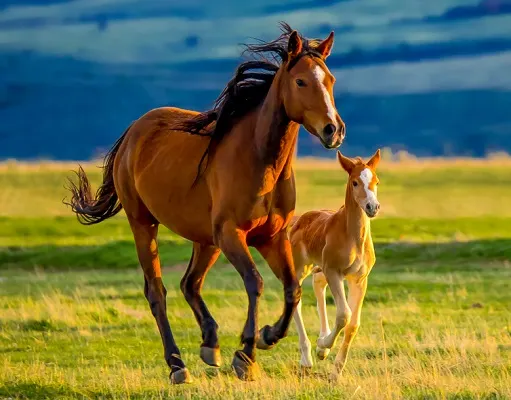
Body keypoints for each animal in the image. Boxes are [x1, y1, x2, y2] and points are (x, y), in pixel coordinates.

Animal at [64, 24, 344, 384]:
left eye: (330, 80)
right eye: (300, 81)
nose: (333, 130)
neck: (259, 161)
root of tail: (133, 132)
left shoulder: (271, 237)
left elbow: (292, 289)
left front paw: (266, 336)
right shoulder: (232, 234)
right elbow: (255, 283)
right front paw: (246, 355)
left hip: (205, 240)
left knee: (189, 283)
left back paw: (210, 345)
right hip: (145, 224)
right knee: (157, 291)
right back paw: (177, 364)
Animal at [288, 149, 380, 378]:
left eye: (376, 181)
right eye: (355, 182)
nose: (372, 207)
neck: (353, 237)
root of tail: (298, 219)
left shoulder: (359, 279)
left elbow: (353, 323)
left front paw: (336, 372)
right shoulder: (334, 272)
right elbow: (344, 314)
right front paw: (323, 346)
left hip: (319, 269)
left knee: (318, 286)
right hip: (301, 267)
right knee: (296, 299)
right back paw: (307, 358)